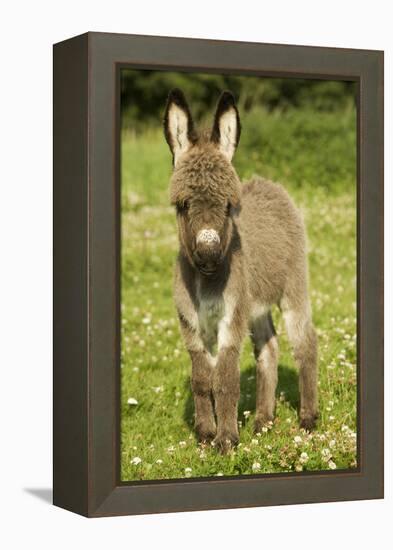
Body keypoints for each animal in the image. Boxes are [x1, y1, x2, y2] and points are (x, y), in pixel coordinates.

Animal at [164, 88, 316, 454]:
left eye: (228, 205)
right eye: (183, 205)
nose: (208, 255)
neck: (205, 282)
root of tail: (269, 184)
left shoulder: (230, 318)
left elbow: (226, 378)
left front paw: (226, 440)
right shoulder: (191, 324)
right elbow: (202, 379)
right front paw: (206, 434)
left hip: (293, 288)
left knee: (305, 343)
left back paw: (308, 419)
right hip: (255, 305)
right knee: (269, 349)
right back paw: (263, 421)